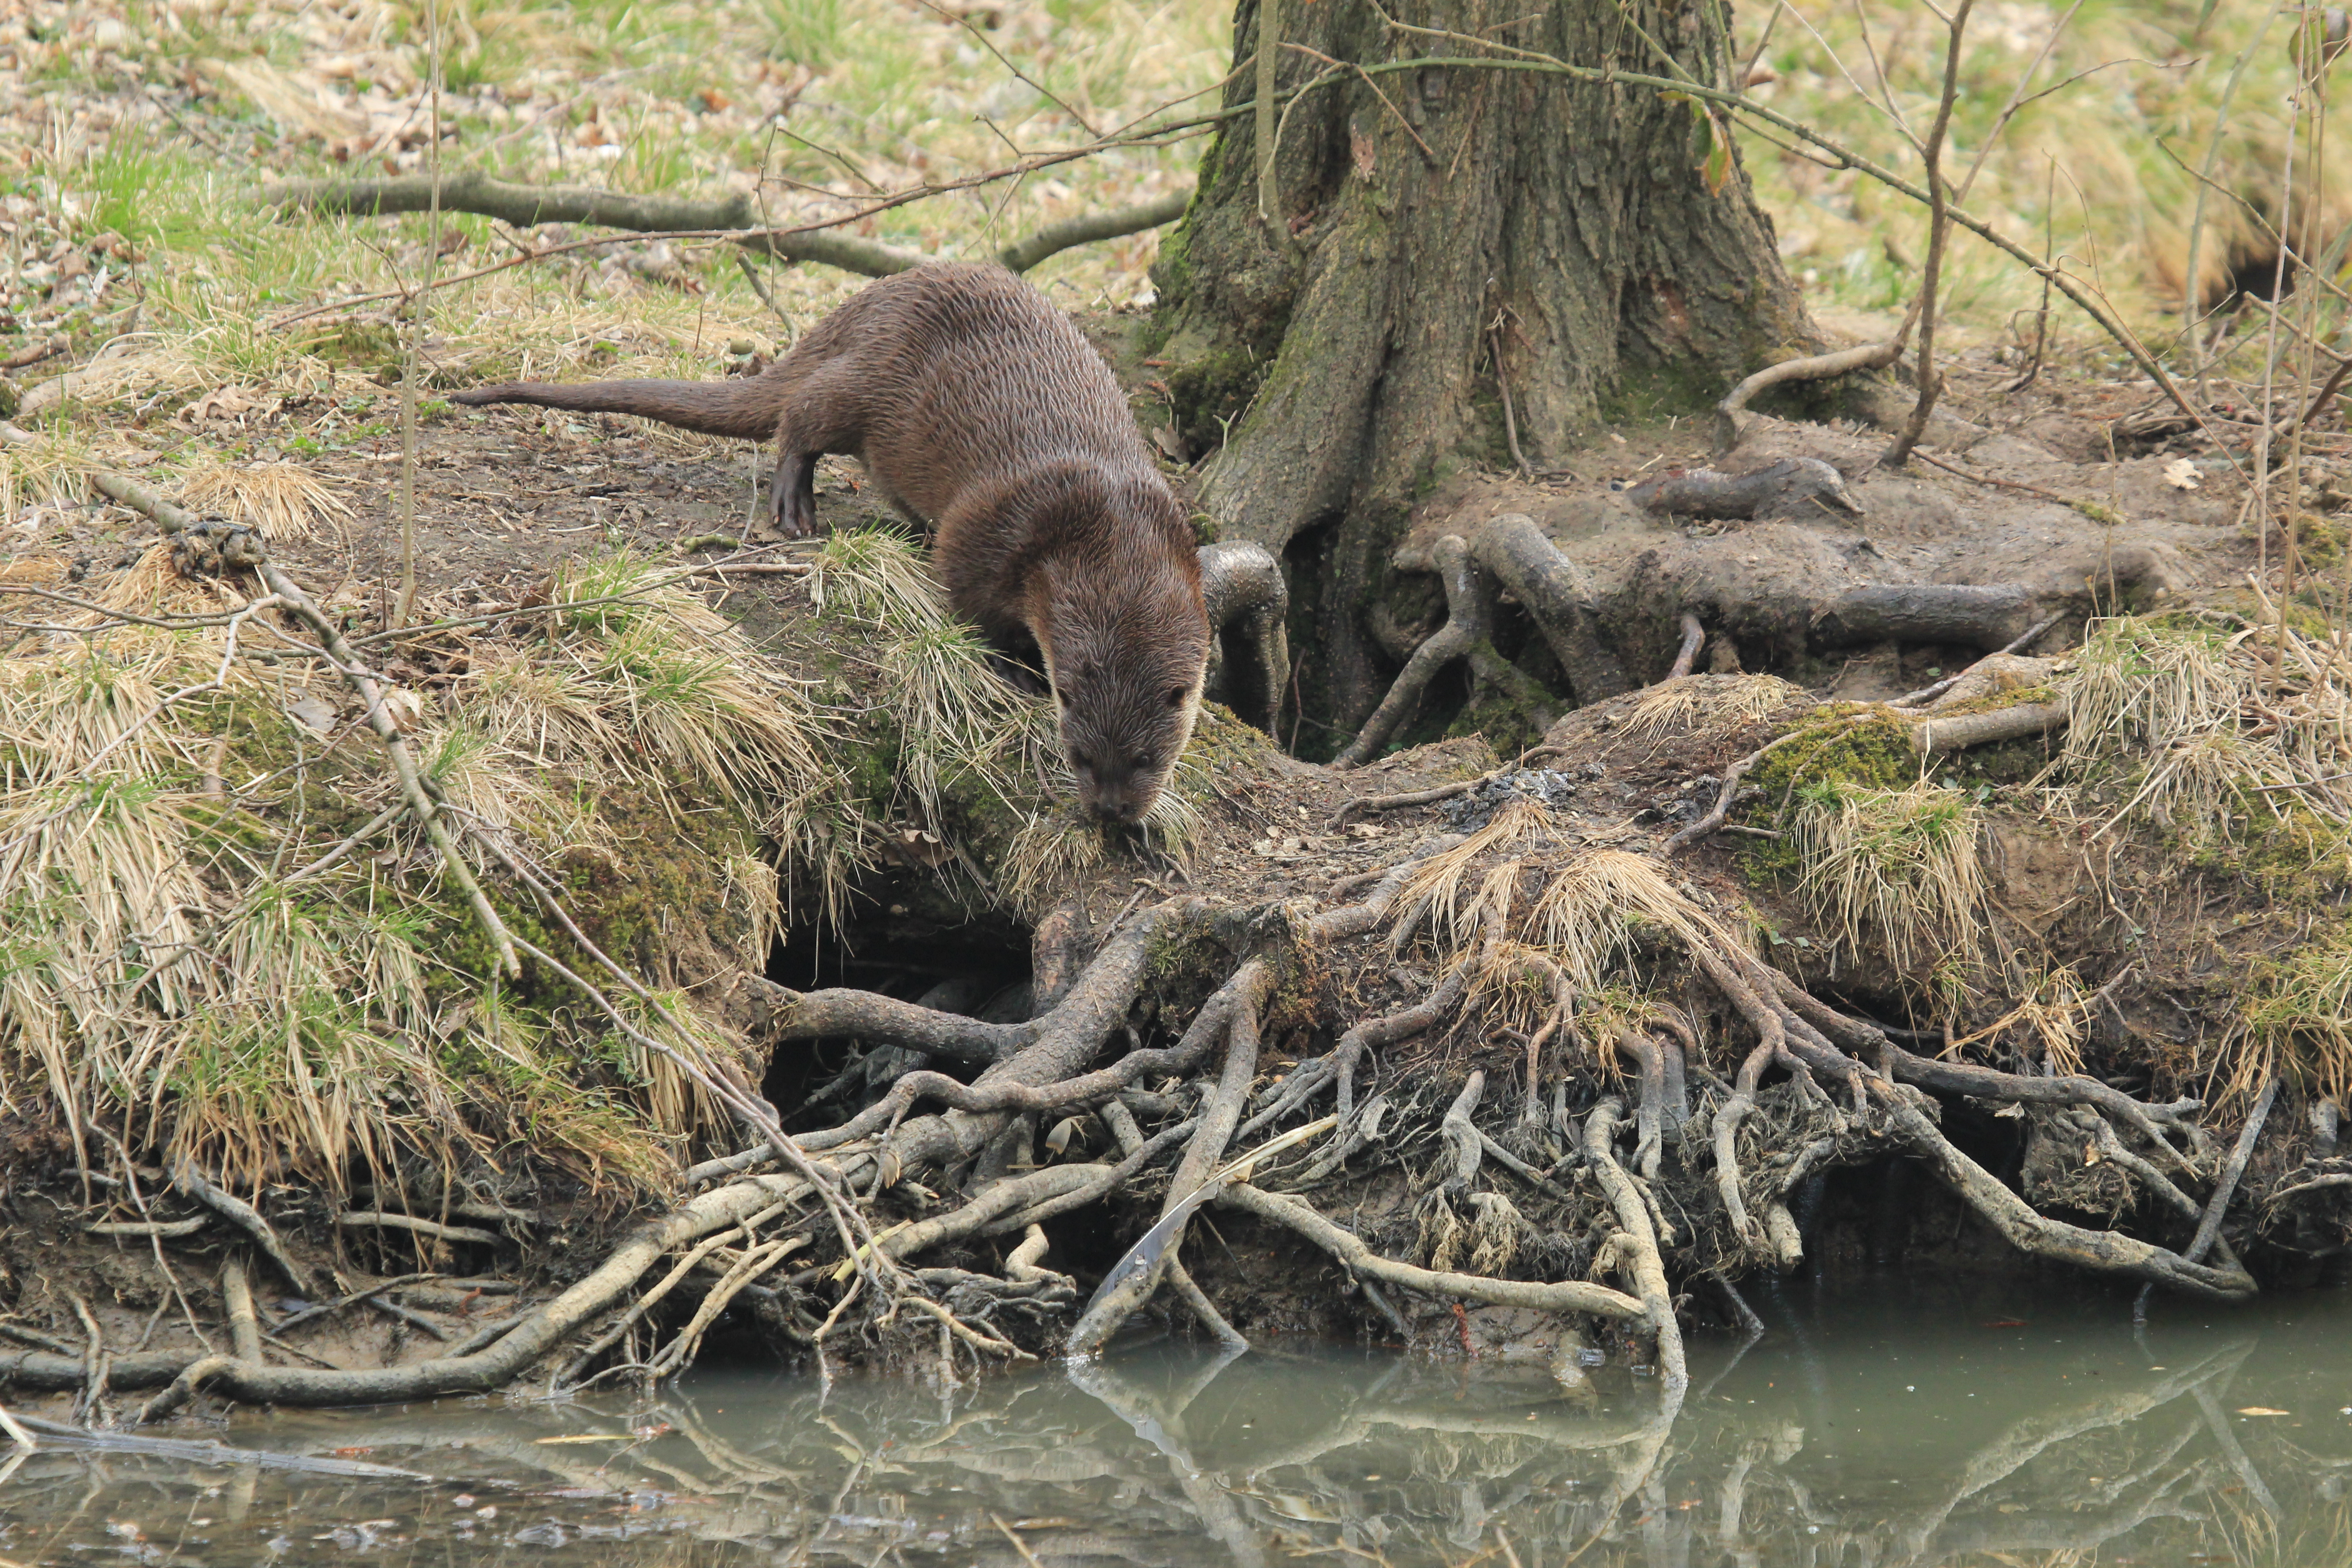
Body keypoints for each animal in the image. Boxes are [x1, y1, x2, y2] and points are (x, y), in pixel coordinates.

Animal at [453, 263, 1209, 825]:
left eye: (1148, 760)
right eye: (1079, 755)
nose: (1111, 813)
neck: (1109, 524)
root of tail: (864, 302)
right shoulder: (993, 527)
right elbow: (968, 603)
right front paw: (1016, 669)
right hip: (869, 380)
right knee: (801, 415)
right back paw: (795, 504)